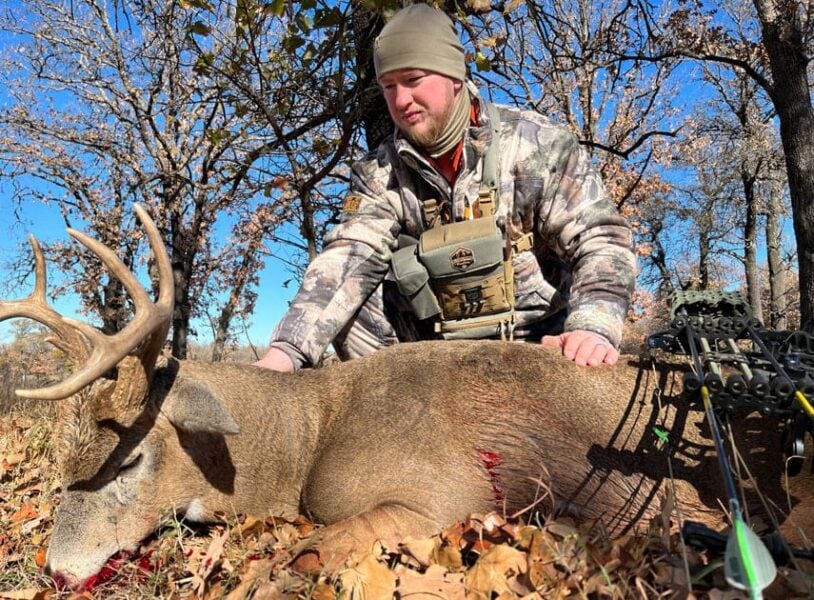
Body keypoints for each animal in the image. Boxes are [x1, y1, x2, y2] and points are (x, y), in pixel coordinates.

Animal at [2, 205, 812, 590]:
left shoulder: (439, 495)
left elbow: (301, 550)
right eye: (64, 467)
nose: (57, 569)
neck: (306, 436)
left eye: (131, 458)